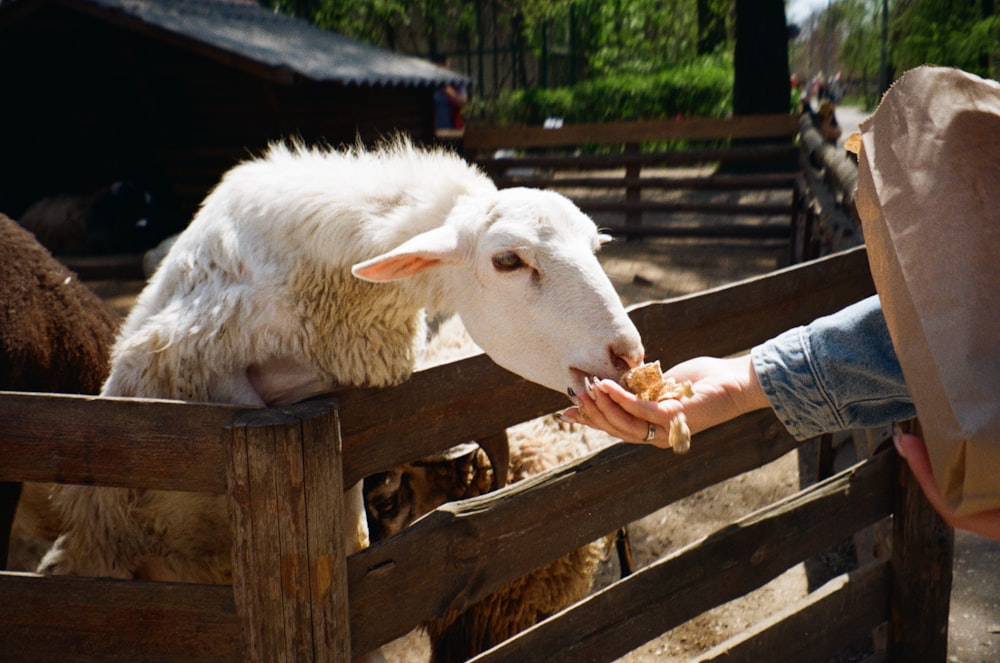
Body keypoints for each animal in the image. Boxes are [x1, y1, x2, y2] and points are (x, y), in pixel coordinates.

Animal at [39, 139, 644, 600]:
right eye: (507, 260)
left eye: (594, 246)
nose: (629, 355)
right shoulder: (194, 359)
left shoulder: (347, 412)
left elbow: (354, 536)